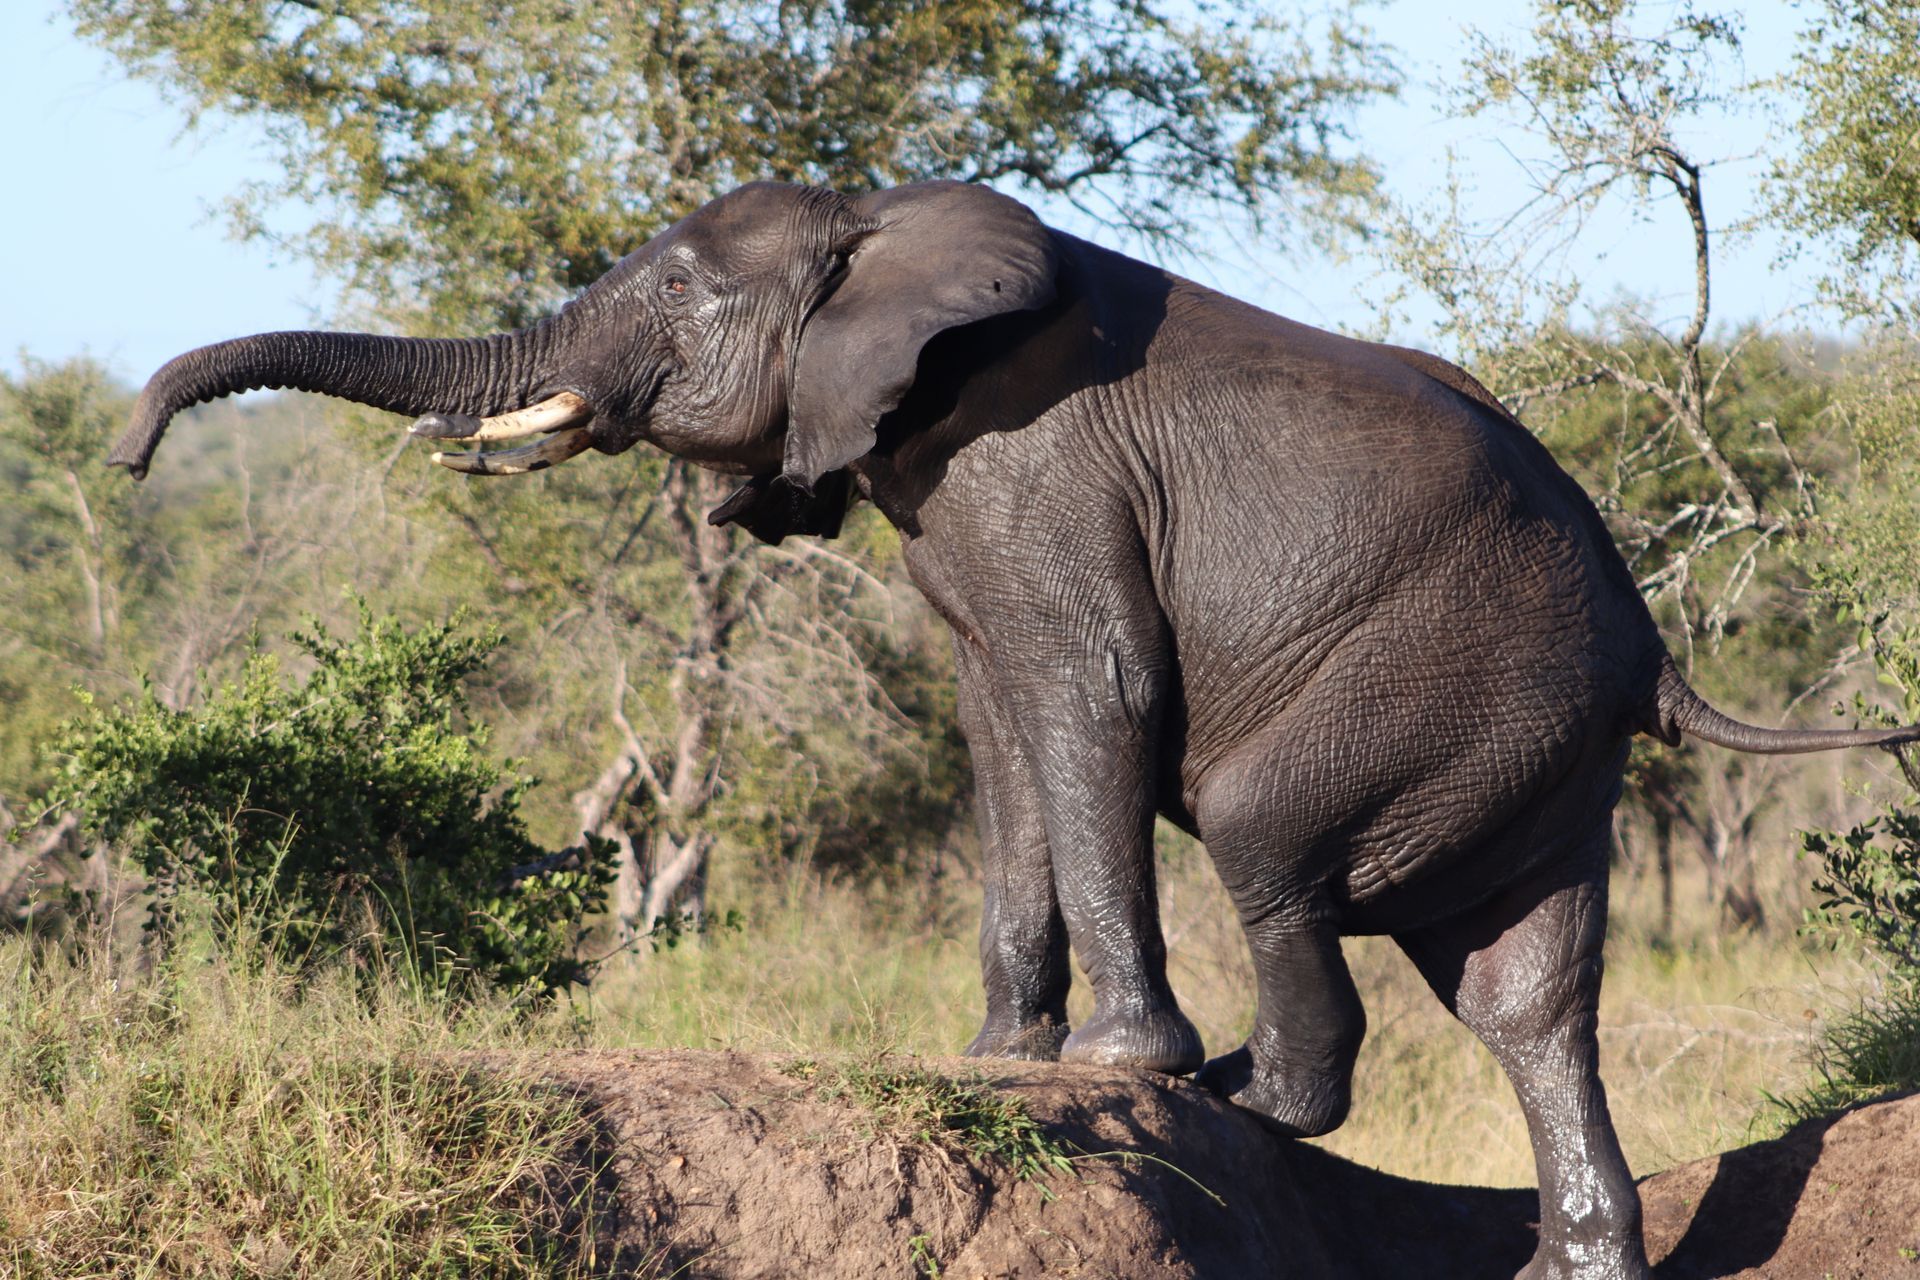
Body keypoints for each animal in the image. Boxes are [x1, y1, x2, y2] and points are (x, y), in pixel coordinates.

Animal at [111, 179, 1918, 1279]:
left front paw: (1114, 1068)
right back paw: (1560, 1261)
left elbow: (1084, 696)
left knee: (1270, 836)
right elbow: (998, 733)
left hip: (1439, 673)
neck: (884, 224)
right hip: (1524, 733)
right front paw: (999, 1056)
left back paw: (1254, 1098)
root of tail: (1647, 641)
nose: (128, 458)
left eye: (677, 290)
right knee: (1528, 993)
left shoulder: (1036, 466)